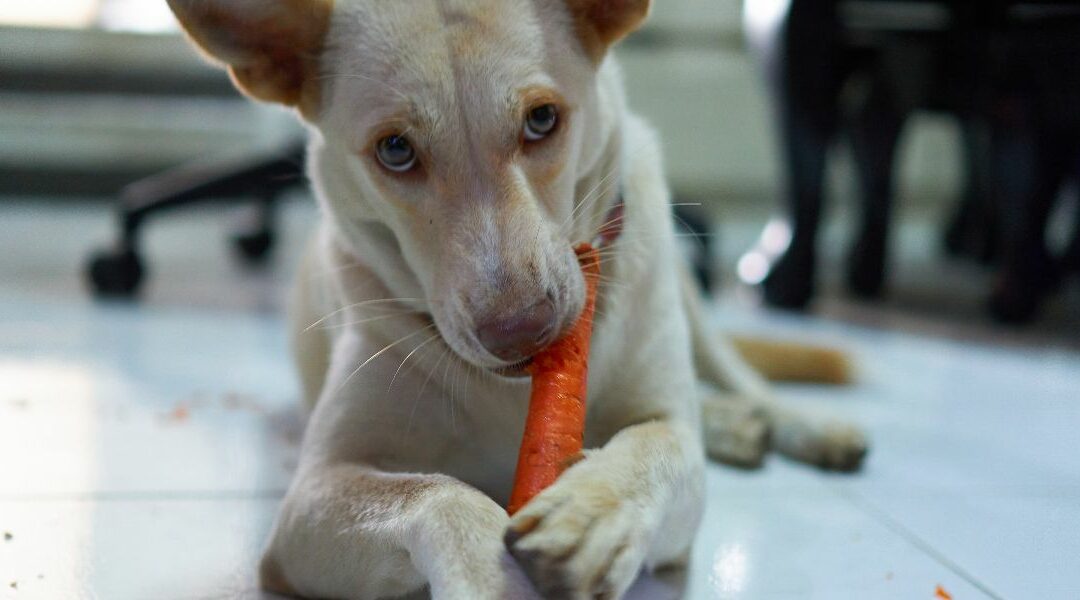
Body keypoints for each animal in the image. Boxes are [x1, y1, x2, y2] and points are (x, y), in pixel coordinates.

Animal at [164, 2, 864, 595]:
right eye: (395, 149)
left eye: (542, 119)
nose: (522, 331)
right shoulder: (310, 499)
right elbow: (436, 493)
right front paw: (492, 577)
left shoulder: (669, 434)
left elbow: (658, 446)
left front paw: (593, 512)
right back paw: (739, 427)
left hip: (688, 297)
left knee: (739, 377)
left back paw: (800, 425)